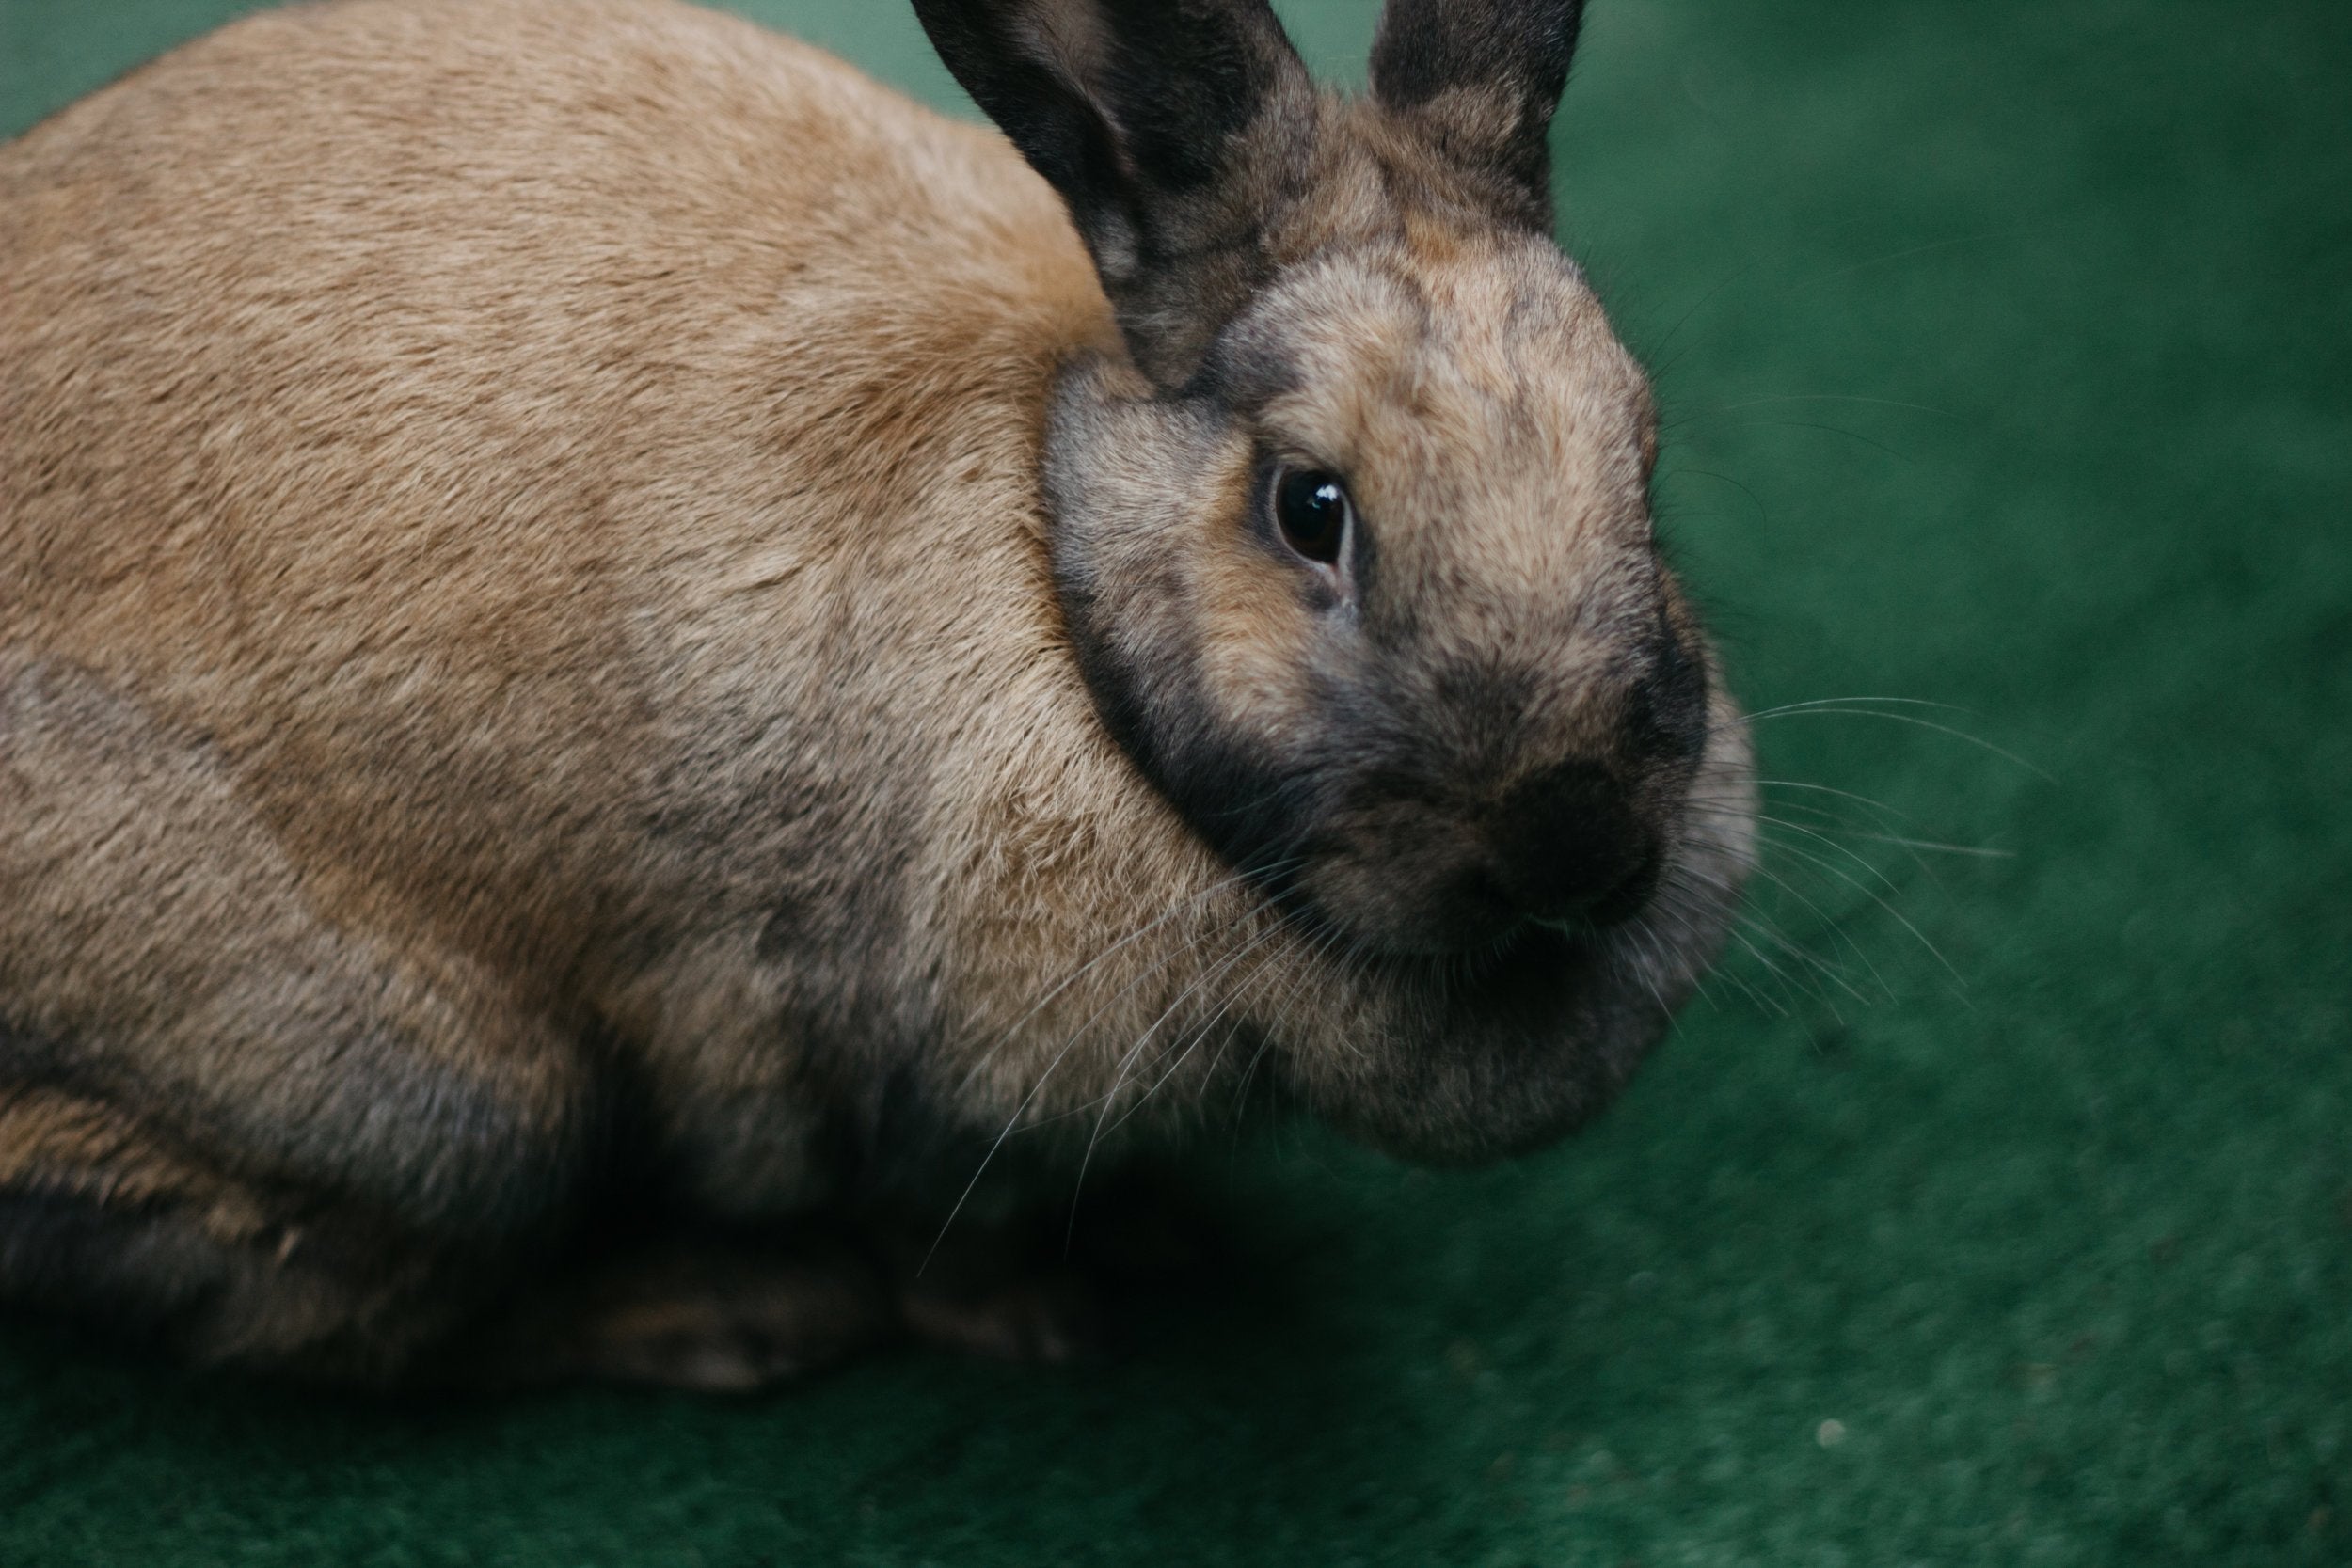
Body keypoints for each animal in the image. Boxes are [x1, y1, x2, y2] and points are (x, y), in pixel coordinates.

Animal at [0, 0, 1757, 1389]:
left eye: (1644, 458)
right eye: (1309, 507)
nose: (1575, 834)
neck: (1052, 572)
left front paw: (1161, 1240)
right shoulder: (865, 1050)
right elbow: (939, 1233)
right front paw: (1041, 1324)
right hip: (456, 1103)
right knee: (330, 1305)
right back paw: (734, 1319)